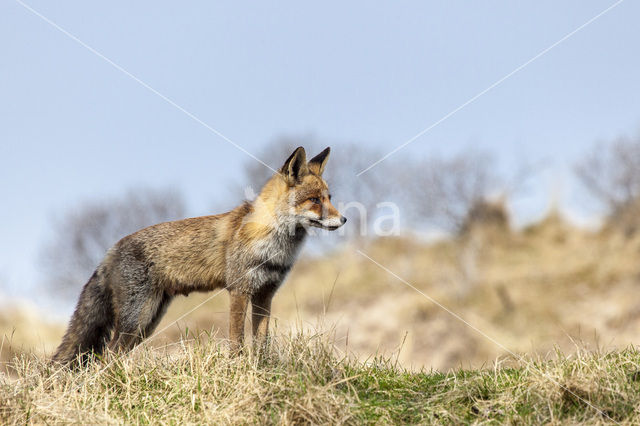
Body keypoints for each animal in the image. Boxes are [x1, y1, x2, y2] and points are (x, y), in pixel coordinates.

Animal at [52, 147, 348, 366]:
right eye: (315, 200)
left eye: (329, 197)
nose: (344, 219)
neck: (273, 245)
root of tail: (110, 250)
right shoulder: (239, 290)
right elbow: (237, 341)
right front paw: (236, 368)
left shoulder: (265, 294)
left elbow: (261, 342)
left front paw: (262, 368)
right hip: (136, 319)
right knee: (107, 357)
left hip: (147, 322)